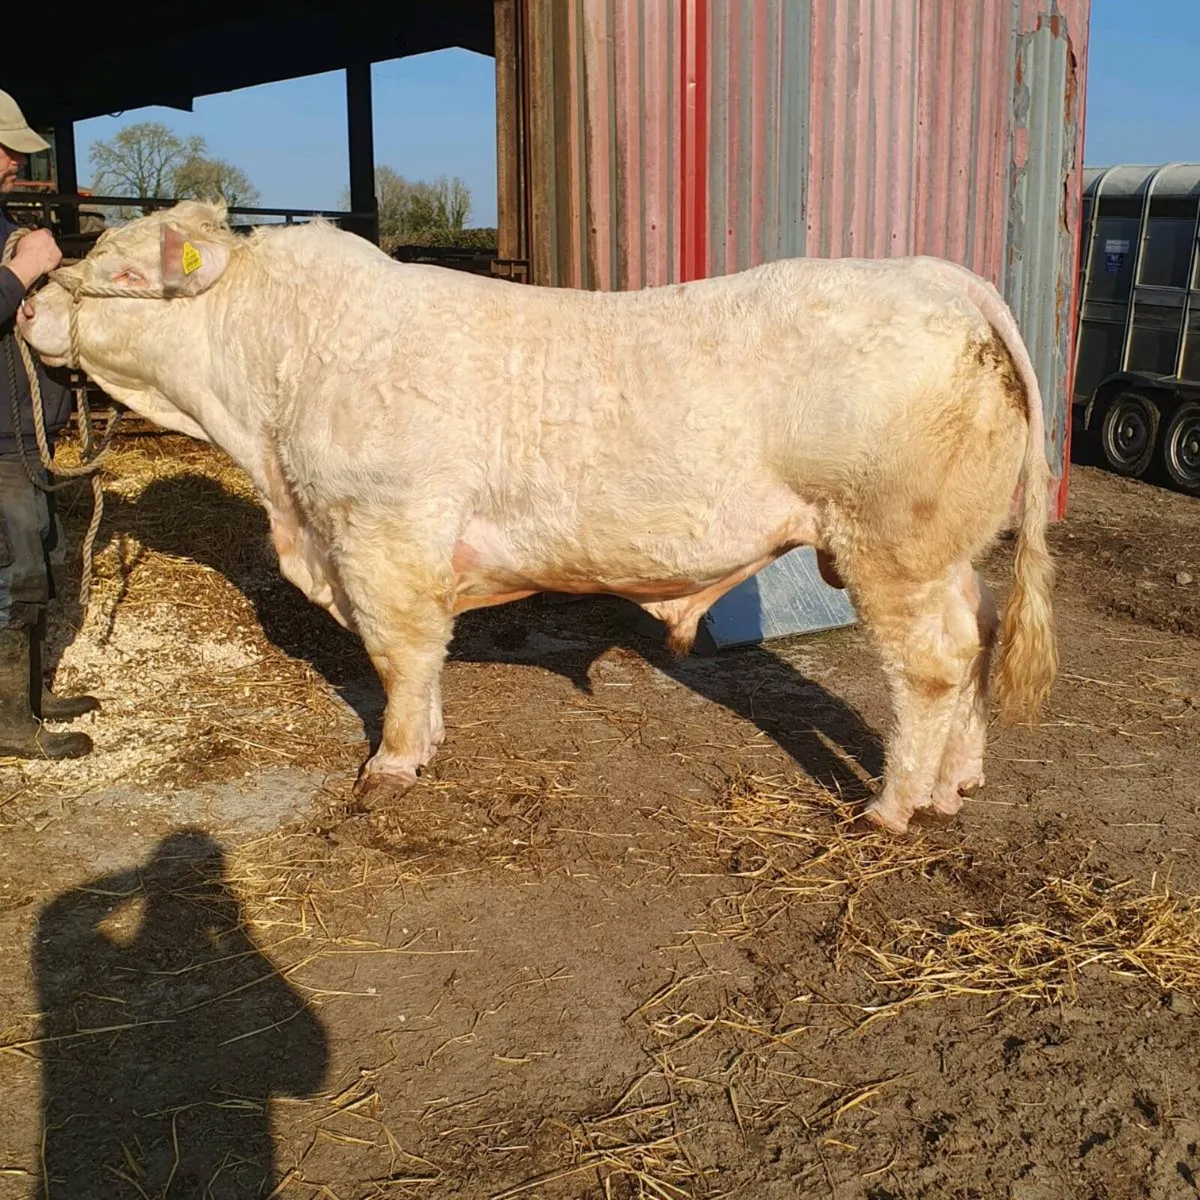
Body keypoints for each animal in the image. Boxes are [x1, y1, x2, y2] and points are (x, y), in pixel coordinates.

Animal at [18, 201, 1057, 835]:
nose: (25, 302)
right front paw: (426, 744)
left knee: (932, 667)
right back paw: (955, 784)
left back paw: (892, 807)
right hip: (946, 550)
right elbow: (424, 660)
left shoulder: (381, 532)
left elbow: (399, 657)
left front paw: (392, 766)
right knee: (978, 635)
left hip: (893, 545)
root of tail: (938, 276)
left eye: (113, 270)